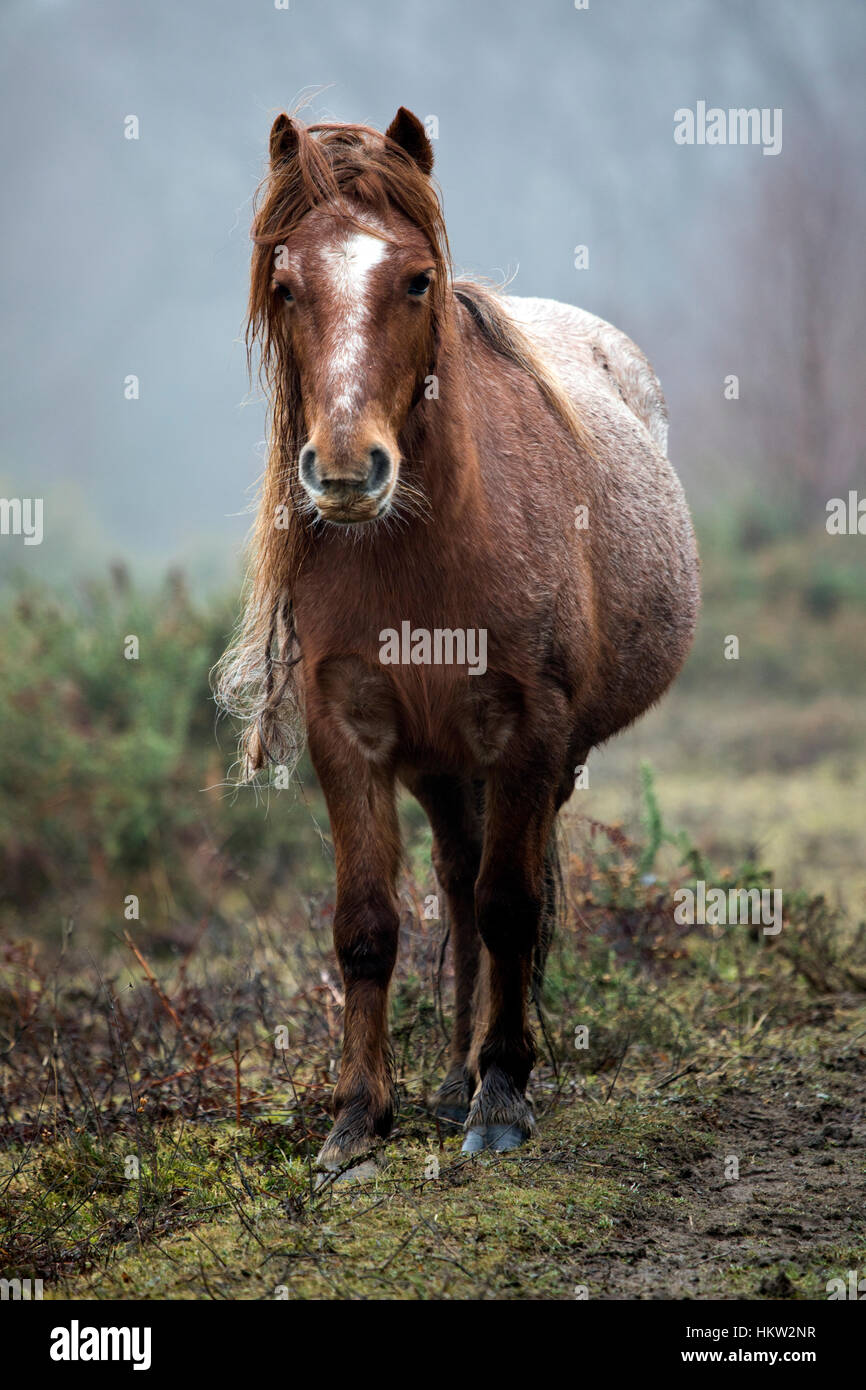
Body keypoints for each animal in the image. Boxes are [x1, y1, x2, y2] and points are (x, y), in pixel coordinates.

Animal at [216, 108, 706, 1167]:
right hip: (443, 765)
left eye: (415, 280)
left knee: (496, 888)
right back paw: (450, 1077)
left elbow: (513, 905)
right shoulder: (348, 735)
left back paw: (486, 1073)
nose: (347, 471)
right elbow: (368, 923)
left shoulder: (529, 732)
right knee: (456, 878)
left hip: (541, 758)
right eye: (286, 282)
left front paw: (505, 1098)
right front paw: (358, 1121)